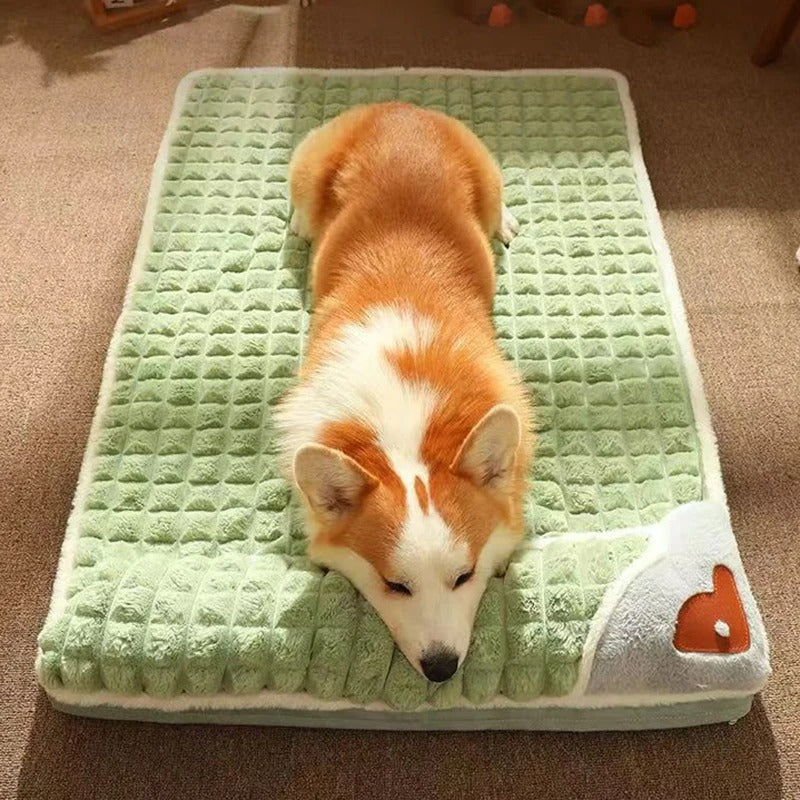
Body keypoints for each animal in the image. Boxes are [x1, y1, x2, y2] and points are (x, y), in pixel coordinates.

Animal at [276, 103, 532, 684]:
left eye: (464, 575)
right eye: (394, 585)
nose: (441, 669)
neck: (402, 426)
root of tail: (400, 109)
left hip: (487, 172)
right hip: (307, 164)